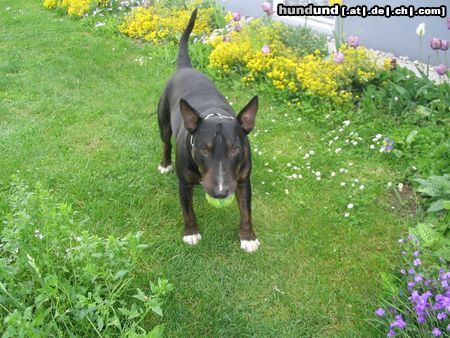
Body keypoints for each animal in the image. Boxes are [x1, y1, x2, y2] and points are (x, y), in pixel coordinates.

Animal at [156, 7, 260, 252]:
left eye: (235, 149)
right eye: (204, 149)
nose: (220, 192)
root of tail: (186, 68)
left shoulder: (243, 180)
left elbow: (246, 211)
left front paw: (248, 237)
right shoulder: (184, 183)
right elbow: (187, 210)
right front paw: (191, 233)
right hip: (163, 121)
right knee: (165, 142)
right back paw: (165, 164)